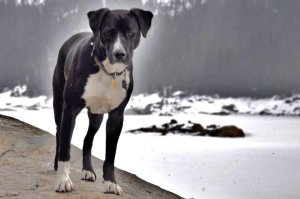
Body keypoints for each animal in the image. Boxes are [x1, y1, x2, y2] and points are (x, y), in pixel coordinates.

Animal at [51, 8, 154, 194]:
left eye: (131, 33)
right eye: (107, 33)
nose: (119, 54)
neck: (109, 72)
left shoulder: (116, 117)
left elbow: (110, 155)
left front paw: (110, 182)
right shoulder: (69, 110)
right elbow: (65, 147)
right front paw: (63, 180)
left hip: (96, 117)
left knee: (88, 140)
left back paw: (88, 170)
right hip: (58, 105)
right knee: (59, 134)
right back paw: (57, 165)